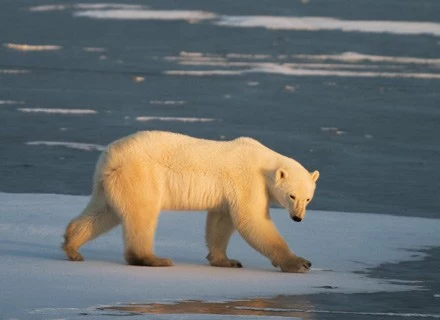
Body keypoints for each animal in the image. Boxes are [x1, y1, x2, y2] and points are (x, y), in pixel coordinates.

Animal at [62, 130, 320, 272]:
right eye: (292, 195)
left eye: (308, 198)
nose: (298, 217)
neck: (264, 162)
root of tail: (110, 156)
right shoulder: (248, 180)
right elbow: (252, 220)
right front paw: (300, 263)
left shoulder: (228, 192)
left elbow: (220, 221)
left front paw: (226, 260)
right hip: (140, 174)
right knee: (142, 214)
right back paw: (154, 259)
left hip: (110, 182)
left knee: (103, 212)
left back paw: (72, 248)